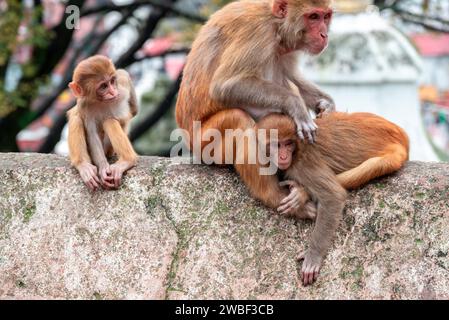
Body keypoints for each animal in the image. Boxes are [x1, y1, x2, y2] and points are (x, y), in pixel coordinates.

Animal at [66, 55, 136, 191]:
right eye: (103, 86)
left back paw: (127, 160)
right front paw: (103, 167)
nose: (113, 92)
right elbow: (92, 134)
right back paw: (83, 165)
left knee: (109, 121)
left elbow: (134, 110)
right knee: (76, 118)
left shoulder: (122, 85)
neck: (101, 101)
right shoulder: (83, 104)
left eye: (112, 81)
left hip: (109, 149)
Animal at [175, 0, 336, 209]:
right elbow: (224, 85)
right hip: (204, 144)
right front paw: (297, 107)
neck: (276, 25)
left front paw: (326, 104)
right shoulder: (258, 34)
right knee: (239, 120)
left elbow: (291, 74)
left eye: (326, 16)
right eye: (313, 17)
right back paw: (274, 196)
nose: (324, 34)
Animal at [254, 112, 408, 284]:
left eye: (287, 144)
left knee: (375, 165)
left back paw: (301, 193)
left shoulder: (302, 165)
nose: (283, 156)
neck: (298, 147)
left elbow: (333, 196)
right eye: (276, 145)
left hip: (394, 153)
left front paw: (313, 256)